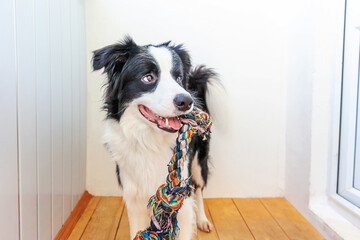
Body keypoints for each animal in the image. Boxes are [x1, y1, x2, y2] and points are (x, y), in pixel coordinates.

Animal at [91, 36, 218, 239]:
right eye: (148, 77)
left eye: (178, 78)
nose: (186, 101)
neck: (149, 140)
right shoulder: (133, 196)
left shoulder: (181, 199)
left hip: (199, 161)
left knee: (198, 188)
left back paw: (202, 220)